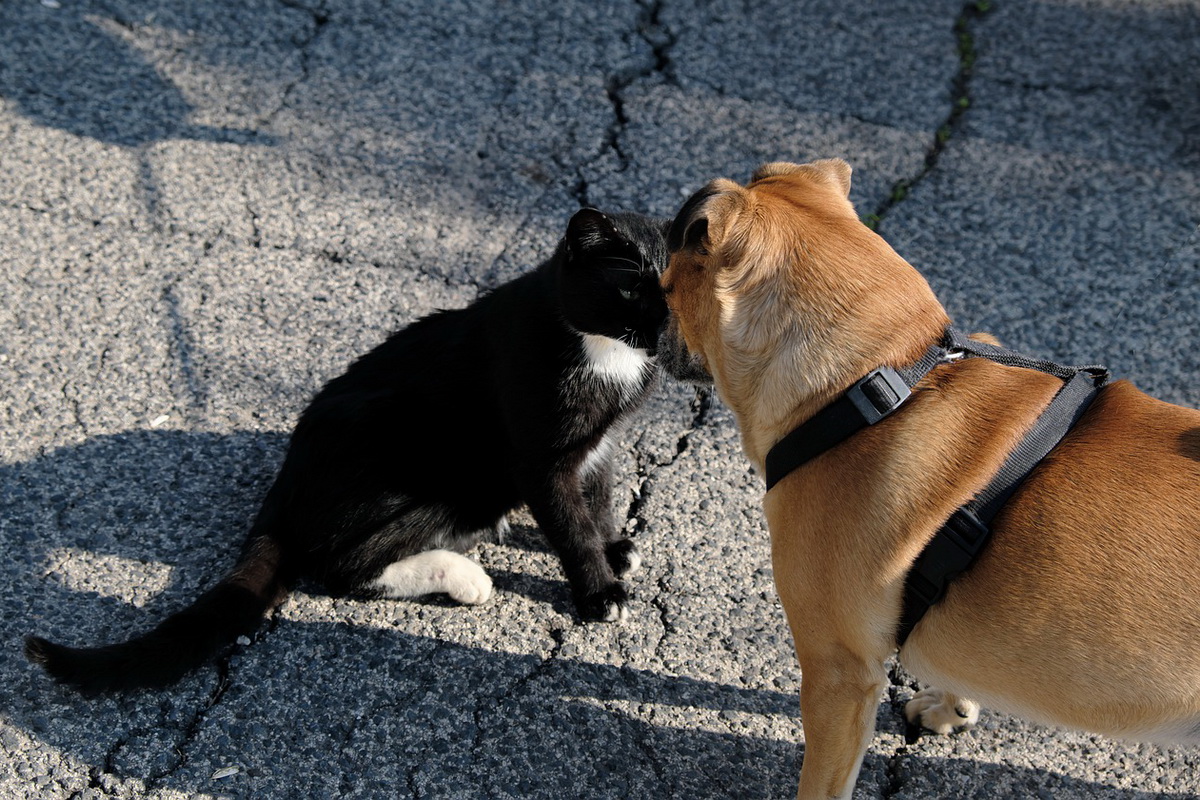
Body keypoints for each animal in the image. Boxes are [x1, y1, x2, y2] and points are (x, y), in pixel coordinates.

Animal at [28, 206, 672, 695]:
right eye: (628, 287)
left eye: (678, 290)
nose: (665, 327)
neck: (605, 355)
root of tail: (286, 480)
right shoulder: (539, 458)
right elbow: (568, 521)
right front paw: (598, 591)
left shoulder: (602, 442)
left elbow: (598, 494)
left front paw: (614, 546)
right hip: (420, 461)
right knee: (341, 566)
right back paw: (463, 575)